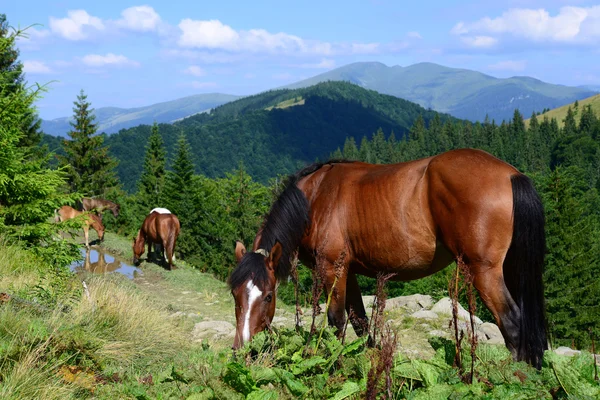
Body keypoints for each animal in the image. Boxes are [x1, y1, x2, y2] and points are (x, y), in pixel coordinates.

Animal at [230, 149, 548, 368]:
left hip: (484, 271)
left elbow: (336, 322)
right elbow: (360, 322)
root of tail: (510, 174)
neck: (316, 195)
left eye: (268, 296)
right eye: (235, 294)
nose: (242, 348)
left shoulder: (332, 269)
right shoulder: (350, 272)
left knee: (513, 325)